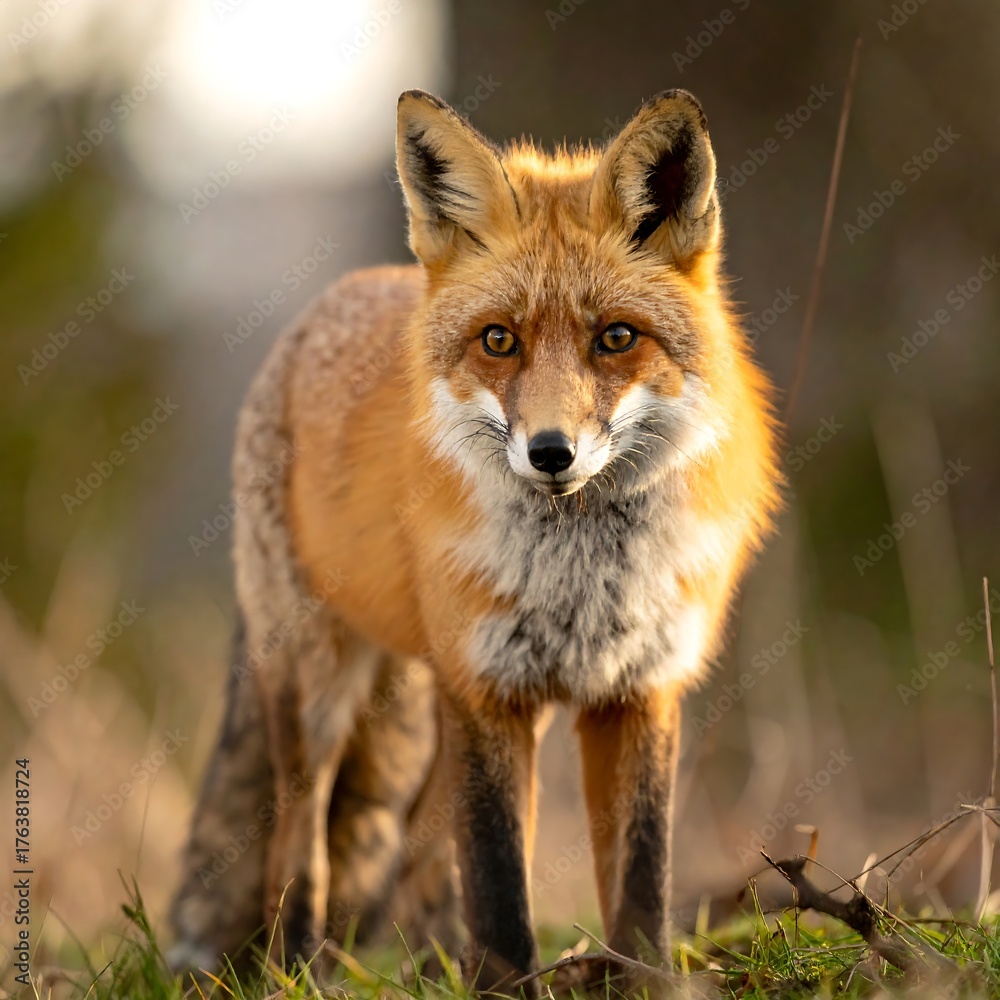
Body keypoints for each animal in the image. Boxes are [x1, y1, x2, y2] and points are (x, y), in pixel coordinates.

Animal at [168, 88, 781, 994]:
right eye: (500, 340)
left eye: (616, 337)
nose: (551, 452)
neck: (580, 579)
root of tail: (329, 301)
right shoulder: (486, 689)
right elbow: (497, 885)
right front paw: (504, 983)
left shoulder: (637, 690)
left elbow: (640, 881)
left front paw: (642, 980)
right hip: (320, 690)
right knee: (299, 848)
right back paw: (302, 968)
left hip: (431, 702)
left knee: (420, 856)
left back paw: (425, 959)